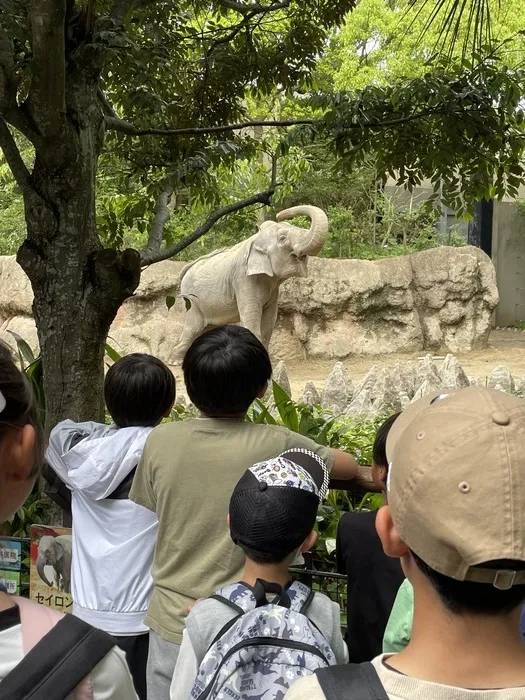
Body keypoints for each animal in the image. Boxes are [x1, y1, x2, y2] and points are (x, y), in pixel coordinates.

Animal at [172, 204, 328, 360]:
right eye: (282, 239)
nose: (278, 215)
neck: (256, 238)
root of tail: (187, 268)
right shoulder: (242, 278)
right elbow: (251, 316)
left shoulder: (272, 288)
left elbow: (270, 319)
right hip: (192, 301)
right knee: (193, 328)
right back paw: (175, 361)